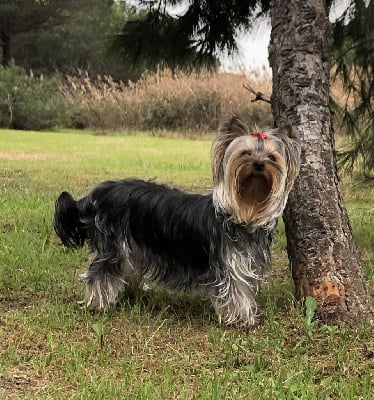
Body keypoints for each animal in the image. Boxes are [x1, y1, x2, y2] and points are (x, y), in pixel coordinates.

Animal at [54, 114, 300, 326]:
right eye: (246, 153)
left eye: (272, 158)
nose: (259, 164)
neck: (245, 214)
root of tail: (98, 192)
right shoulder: (229, 264)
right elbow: (235, 290)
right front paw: (242, 319)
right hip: (113, 244)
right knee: (99, 272)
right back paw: (97, 304)